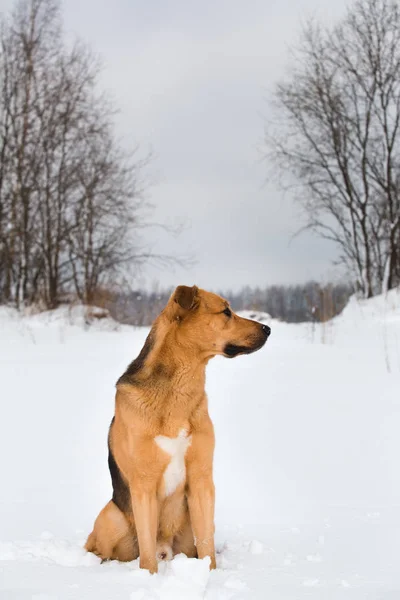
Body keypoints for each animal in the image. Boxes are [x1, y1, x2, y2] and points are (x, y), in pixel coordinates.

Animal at [85, 286, 270, 572]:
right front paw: (149, 577)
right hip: (112, 517)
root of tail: (167, 549)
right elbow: (147, 554)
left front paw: (209, 574)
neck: (178, 390)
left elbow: (206, 546)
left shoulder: (202, 479)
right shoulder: (144, 485)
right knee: (98, 545)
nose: (268, 328)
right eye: (226, 311)